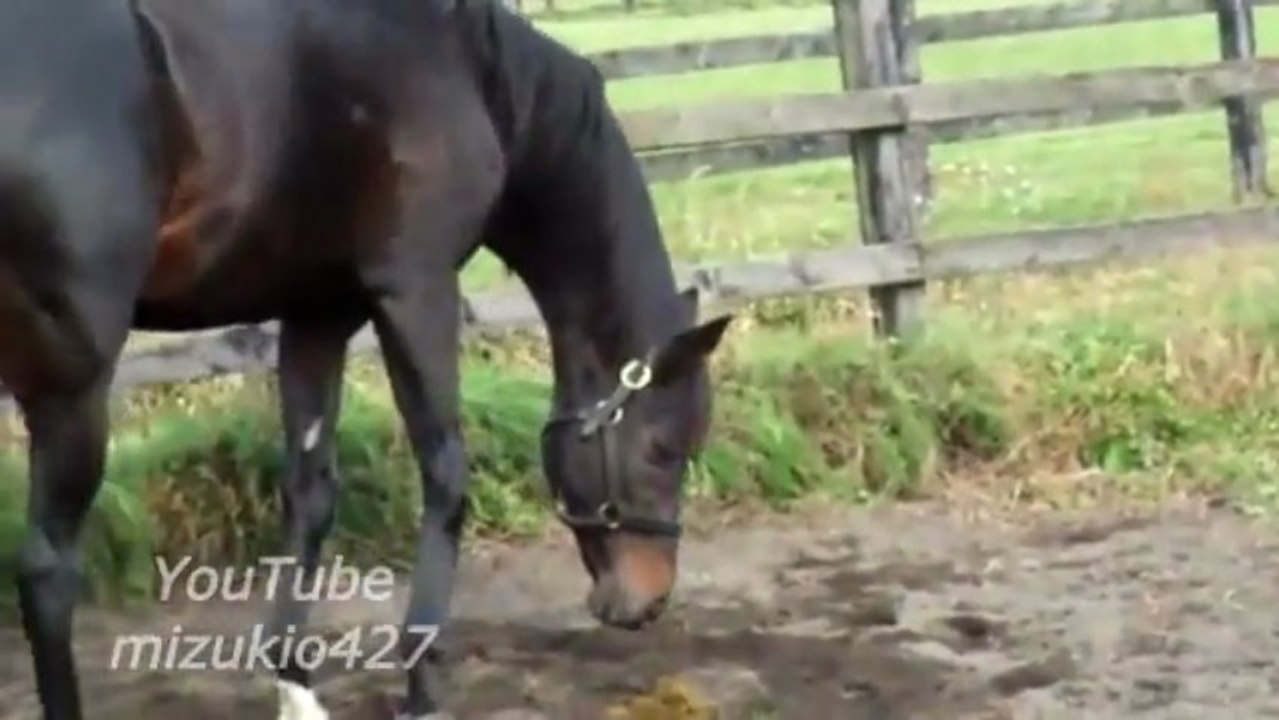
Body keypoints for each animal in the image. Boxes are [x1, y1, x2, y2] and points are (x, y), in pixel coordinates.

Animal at [0, 0, 733, 718]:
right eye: (663, 448)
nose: (648, 600)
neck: (464, 66)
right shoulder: (416, 289)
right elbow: (445, 474)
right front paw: (422, 686)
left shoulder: (318, 315)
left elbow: (310, 493)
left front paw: (296, 688)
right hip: (72, 387)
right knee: (48, 571)